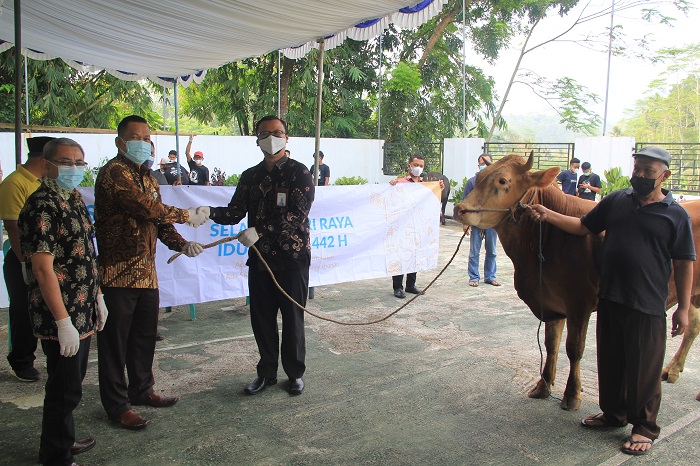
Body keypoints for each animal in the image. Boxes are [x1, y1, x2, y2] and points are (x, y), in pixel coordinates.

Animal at [454, 152, 700, 408]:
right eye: (480, 176)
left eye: (502, 181)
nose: (460, 209)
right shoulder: (551, 301)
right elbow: (551, 344)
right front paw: (543, 385)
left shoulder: (579, 303)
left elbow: (574, 348)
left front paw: (572, 393)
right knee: (694, 325)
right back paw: (672, 369)